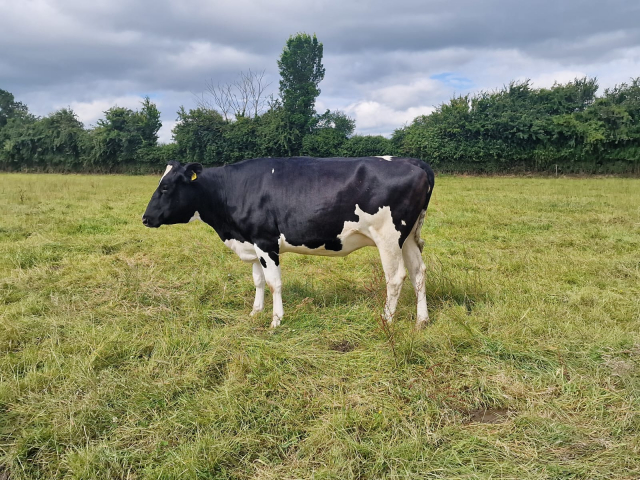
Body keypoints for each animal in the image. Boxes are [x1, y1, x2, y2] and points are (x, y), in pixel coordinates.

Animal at [142, 156, 436, 328]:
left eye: (166, 187)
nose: (145, 218)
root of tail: (412, 161)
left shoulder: (265, 241)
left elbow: (274, 283)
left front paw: (276, 321)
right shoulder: (251, 241)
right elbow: (258, 281)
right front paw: (256, 312)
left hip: (388, 236)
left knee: (395, 277)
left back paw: (387, 319)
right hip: (408, 237)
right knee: (418, 272)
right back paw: (422, 320)